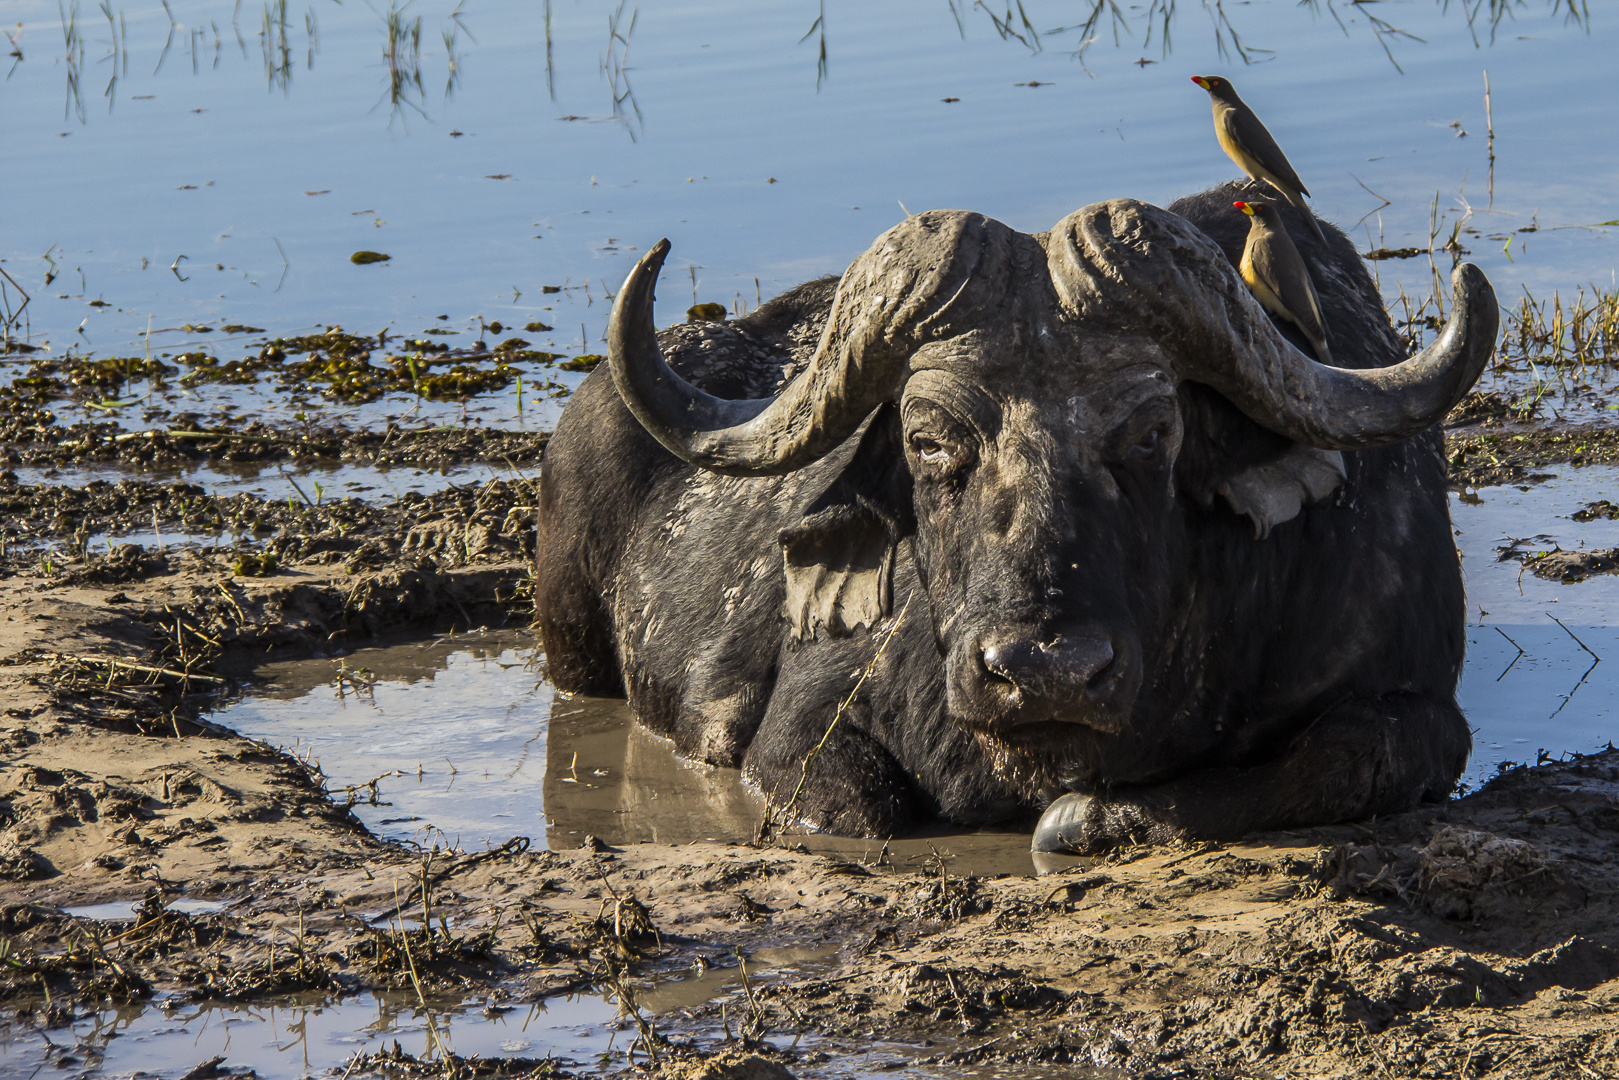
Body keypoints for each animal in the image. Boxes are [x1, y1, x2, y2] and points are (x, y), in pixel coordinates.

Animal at [537, 186, 1495, 854]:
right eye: (925, 440)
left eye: (1153, 431)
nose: (1044, 670)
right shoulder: (795, 730)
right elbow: (860, 807)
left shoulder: (1415, 697)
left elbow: (1339, 759)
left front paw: (1086, 817)